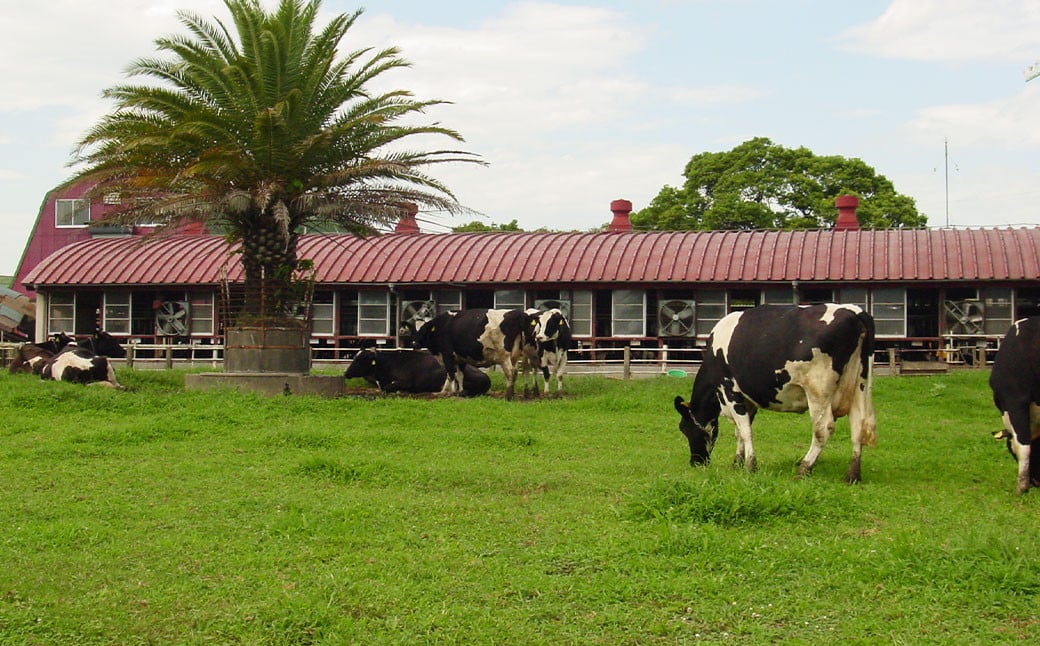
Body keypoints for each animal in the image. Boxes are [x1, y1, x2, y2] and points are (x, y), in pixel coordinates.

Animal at [673, 305, 877, 480]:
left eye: (684, 428)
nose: (696, 462)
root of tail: (856, 313)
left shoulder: (729, 390)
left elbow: (745, 430)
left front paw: (750, 465)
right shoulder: (748, 400)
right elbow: (740, 431)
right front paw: (738, 462)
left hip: (818, 389)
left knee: (823, 428)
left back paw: (804, 468)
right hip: (860, 385)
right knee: (858, 426)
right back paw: (852, 475)